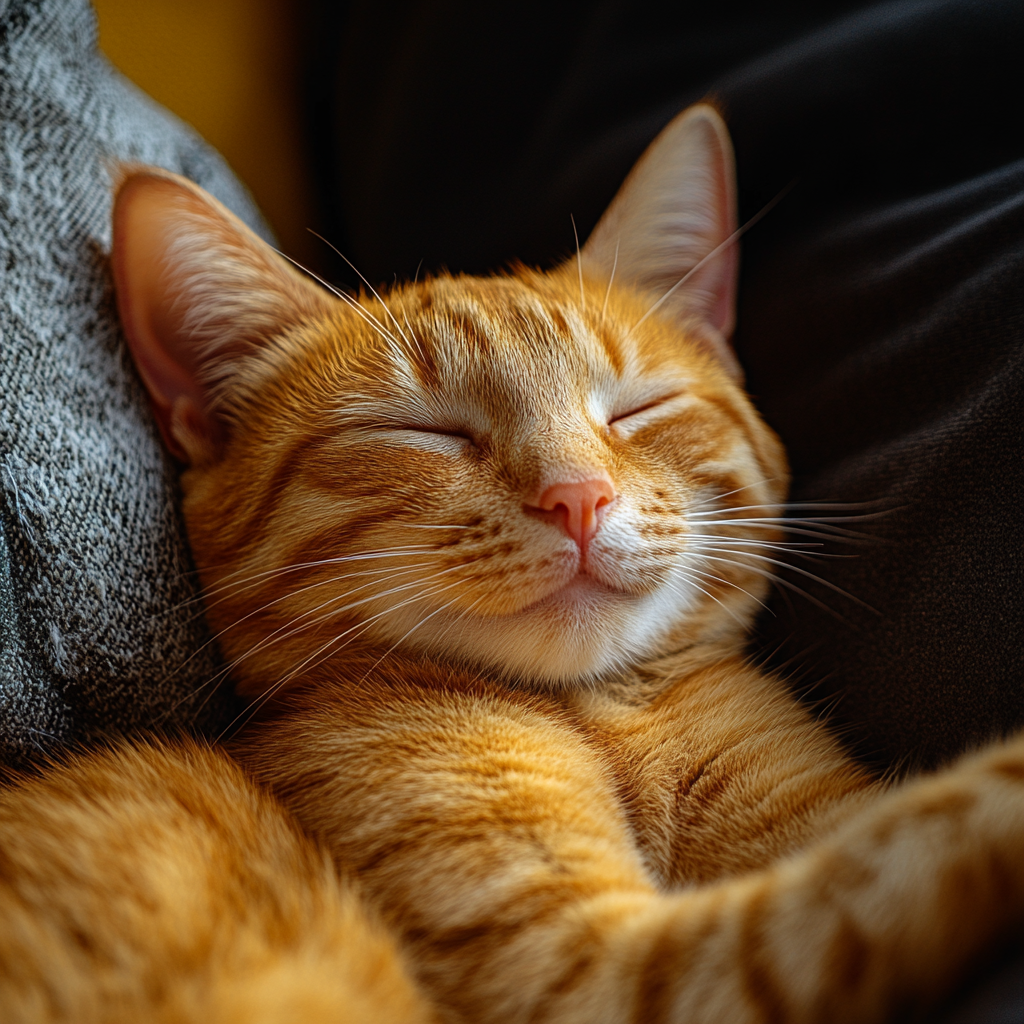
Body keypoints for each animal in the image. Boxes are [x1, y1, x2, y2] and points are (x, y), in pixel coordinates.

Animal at [2, 105, 1024, 1024]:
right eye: (427, 432)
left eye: (637, 409)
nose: (577, 496)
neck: (599, 718)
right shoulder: (595, 973)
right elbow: (912, 845)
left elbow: (882, 833)